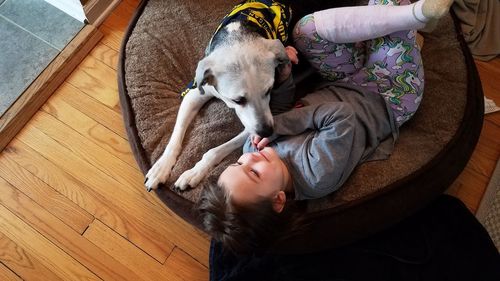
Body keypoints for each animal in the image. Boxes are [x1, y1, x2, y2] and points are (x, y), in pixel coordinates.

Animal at [144, 0, 292, 191]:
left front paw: (194, 172)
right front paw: (161, 167)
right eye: (237, 100)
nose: (266, 131)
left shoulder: (255, 123)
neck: (237, 36)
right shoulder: (194, 95)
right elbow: (176, 135)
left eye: (269, 90)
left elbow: (213, 152)